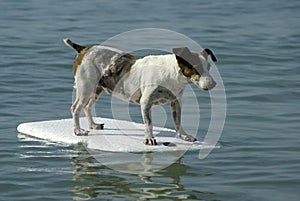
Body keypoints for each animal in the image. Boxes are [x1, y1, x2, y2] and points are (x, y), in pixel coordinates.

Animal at [64, 38, 217, 144]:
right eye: (196, 67)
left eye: (209, 67)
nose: (214, 84)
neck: (171, 75)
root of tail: (84, 49)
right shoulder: (146, 103)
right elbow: (149, 123)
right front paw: (149, 139)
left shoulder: (176, 102)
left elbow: (178, 122)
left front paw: (184, 136)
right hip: (85, 88)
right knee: (76, 108)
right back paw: (78, 130)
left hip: (96, 89)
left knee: (87, 107)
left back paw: (92, 125)